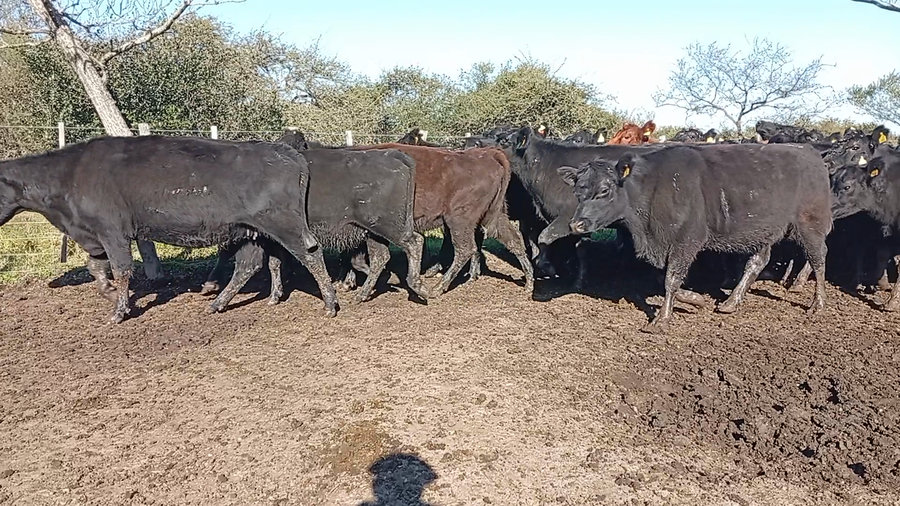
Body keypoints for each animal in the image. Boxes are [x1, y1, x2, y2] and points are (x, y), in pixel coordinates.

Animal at [0, 135, 337, 323]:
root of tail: (286, 152)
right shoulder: (93, 236)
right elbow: (96, 269)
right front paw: (110, 294)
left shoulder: (113, 232)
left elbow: (121, 269)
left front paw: (119, 312)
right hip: (249, 232)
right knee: (248, 266)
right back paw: (217, 304)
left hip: (284, 224)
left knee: (310, 252)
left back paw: (330, 304)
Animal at [200, 131, 430, 309]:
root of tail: (393, 155)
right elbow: (272, 263)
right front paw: (275, 294)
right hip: (372, 231)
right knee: (380, 257)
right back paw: (362, 294)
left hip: (386, 225)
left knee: (414, 242)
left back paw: (417, 286)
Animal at [549, 143, 832, 333]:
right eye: (578, 192)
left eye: (604, 190)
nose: (576, 224)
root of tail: (809, 152)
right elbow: (661, 277)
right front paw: (695, 300)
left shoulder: (687, 240)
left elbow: (671, 279)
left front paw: (662, 318)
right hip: (763, 231)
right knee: (757, 261)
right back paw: (730, 302)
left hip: (810, 225)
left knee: (818, 260)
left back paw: (817, 304)